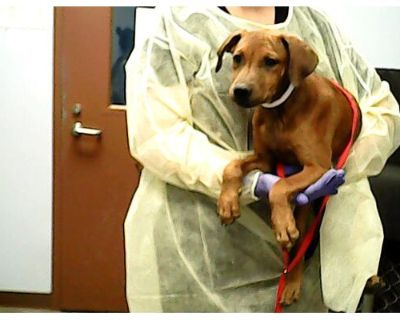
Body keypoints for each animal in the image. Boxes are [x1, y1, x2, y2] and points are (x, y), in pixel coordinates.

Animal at [217, 29, 364, 304]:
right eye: (238, 58)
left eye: (271, 61)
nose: (240, 91)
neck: (280, 112)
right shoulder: (265, 159)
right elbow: (232, 166)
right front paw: (227, 203)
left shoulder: (317, 167)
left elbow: (280, 187)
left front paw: (282, 223)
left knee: (302, 240)